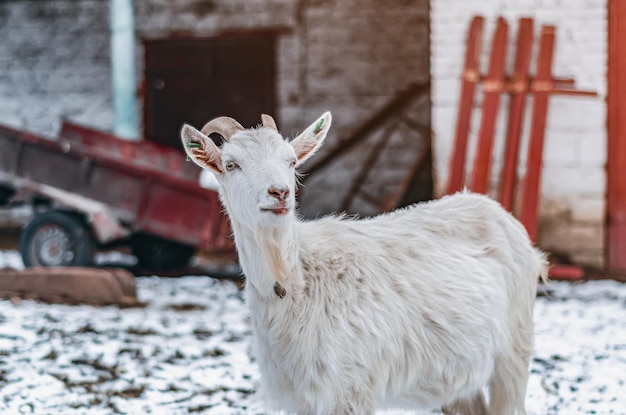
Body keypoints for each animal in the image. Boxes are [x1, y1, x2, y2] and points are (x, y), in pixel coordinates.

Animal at [180, 112, 544, 414]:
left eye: (292, 160)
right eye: (231, 165)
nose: (279, 193)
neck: (296, 280)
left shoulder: (351, 388)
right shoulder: (301, 397)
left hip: (514, 350)